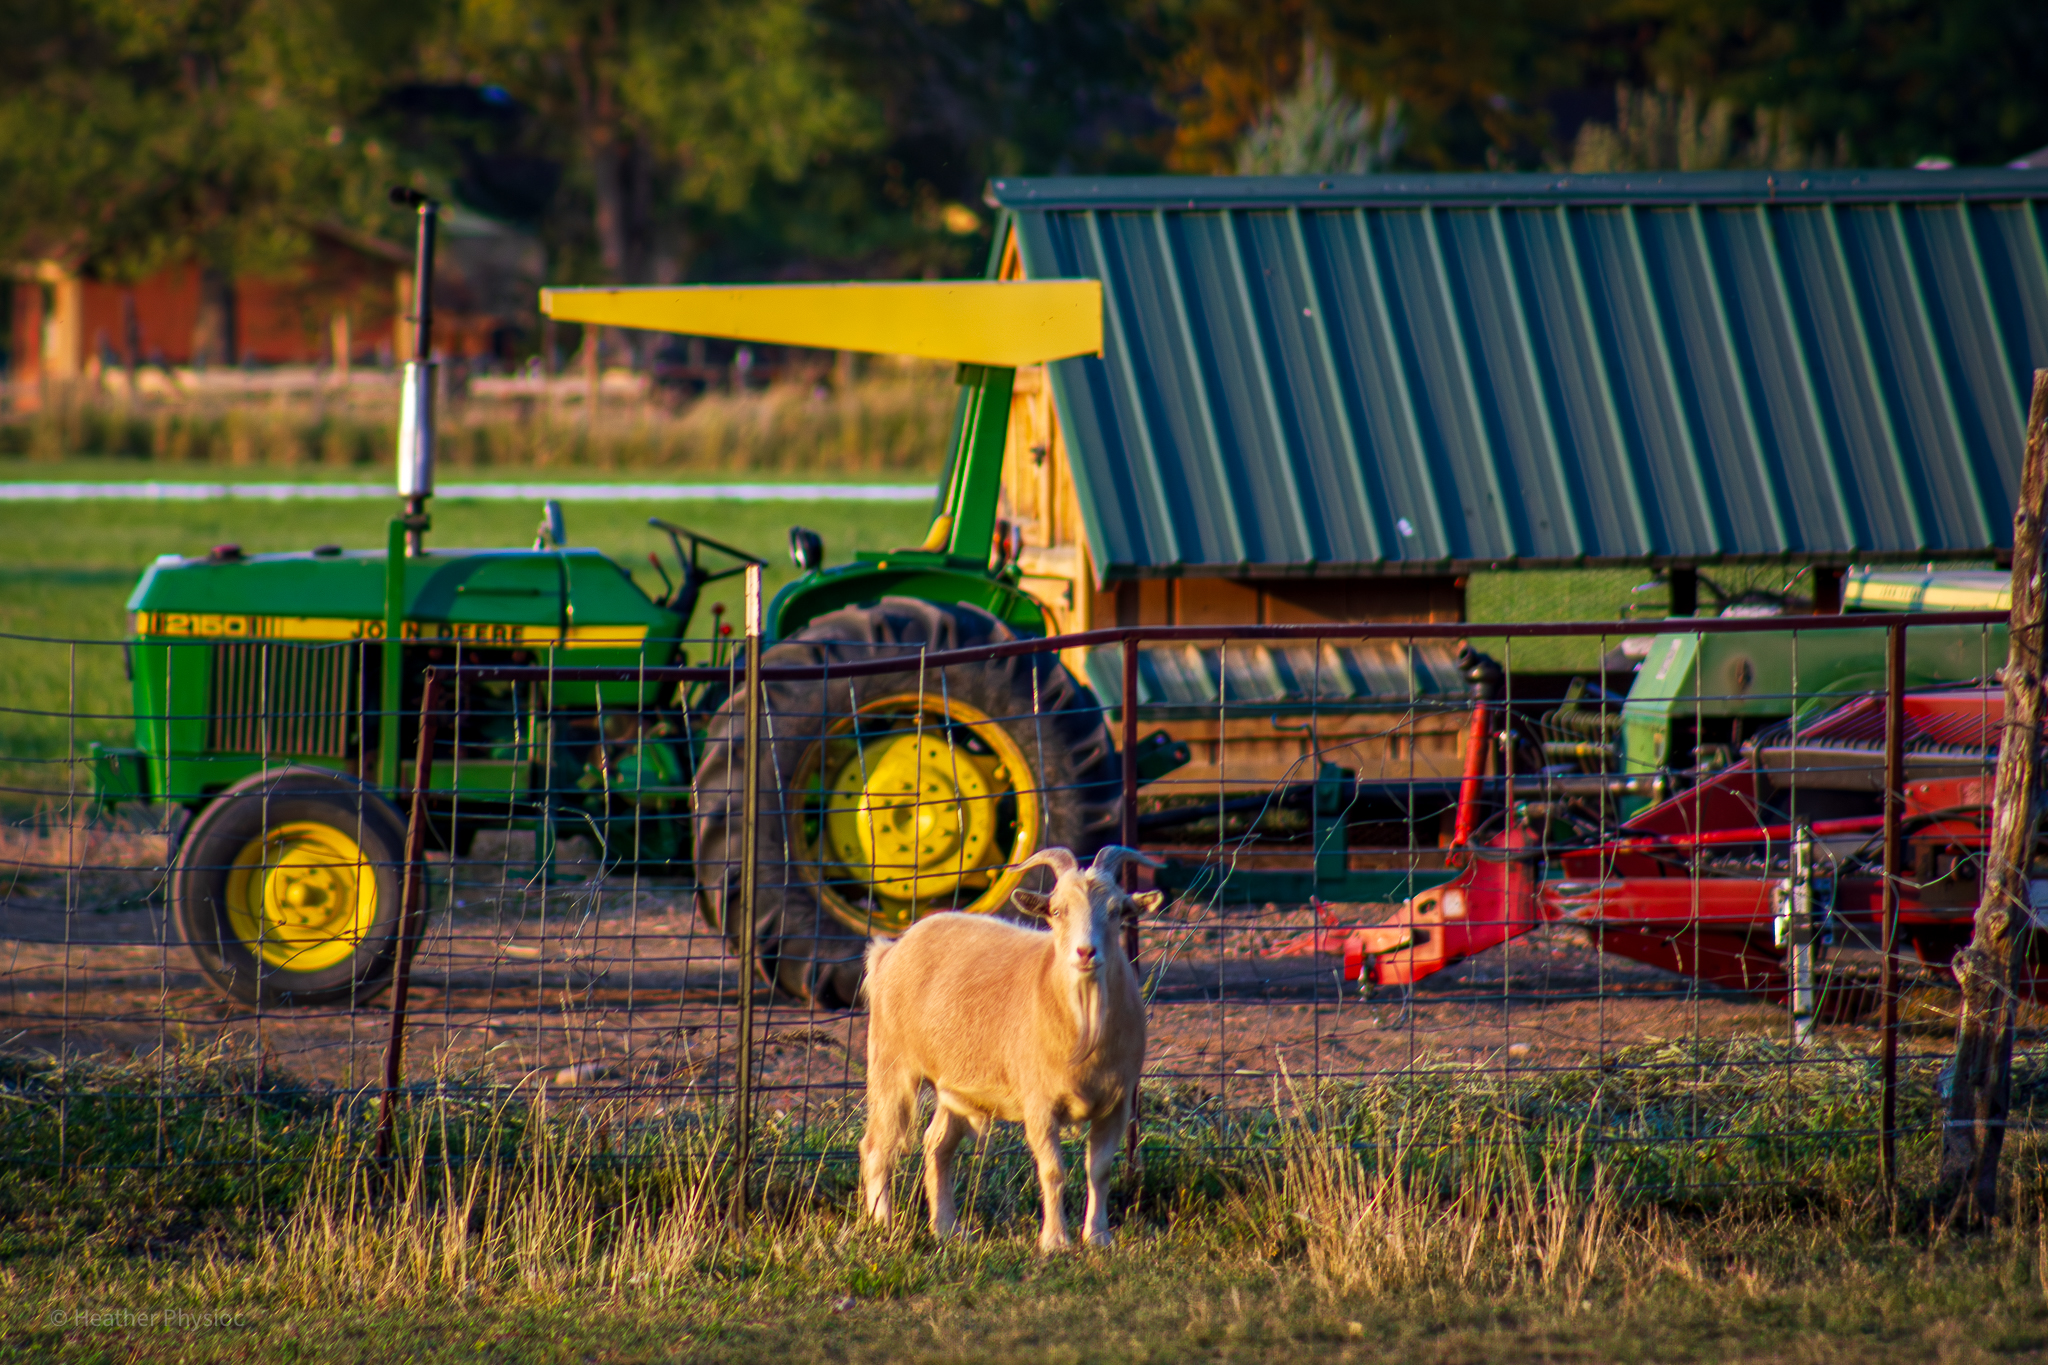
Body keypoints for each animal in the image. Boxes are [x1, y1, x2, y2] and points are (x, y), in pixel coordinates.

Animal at [858, 845, 1163, 1251]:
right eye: (1056, 911)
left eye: (1116, 911)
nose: (1086, 952)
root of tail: (891, 947)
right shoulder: (1039, 1102)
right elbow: (1052, 1170)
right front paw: (1055, 1241)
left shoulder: (1118, 1101)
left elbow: (1098, 1169)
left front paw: (1098, 1238)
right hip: (890, 1062)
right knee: (878, 1144)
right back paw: (883, 1226)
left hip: (954, 1085)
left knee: (936, 1144)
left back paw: (948, 1229)